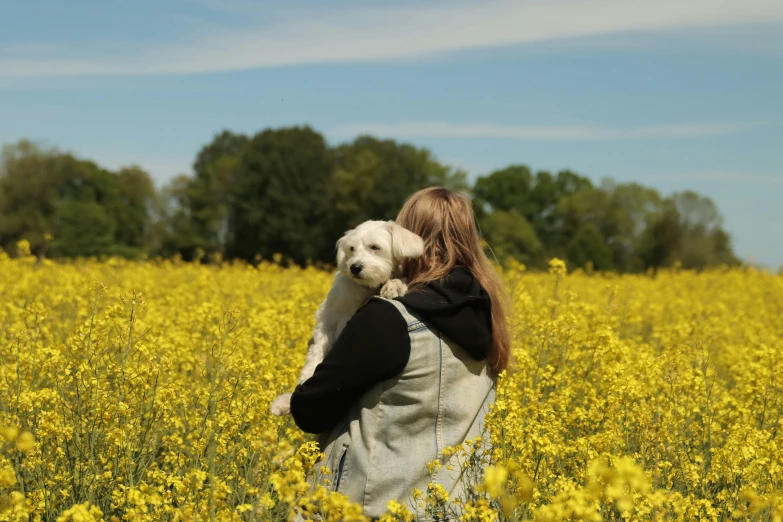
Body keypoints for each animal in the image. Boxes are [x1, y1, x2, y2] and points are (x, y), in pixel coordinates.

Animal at [268, 219, 422, 414]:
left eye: (375, 247)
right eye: (352, 249)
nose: (354, 267)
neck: (367, 288)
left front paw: (393, 285)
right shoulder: (328, 318)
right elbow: (316, 353)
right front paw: (305, 378)